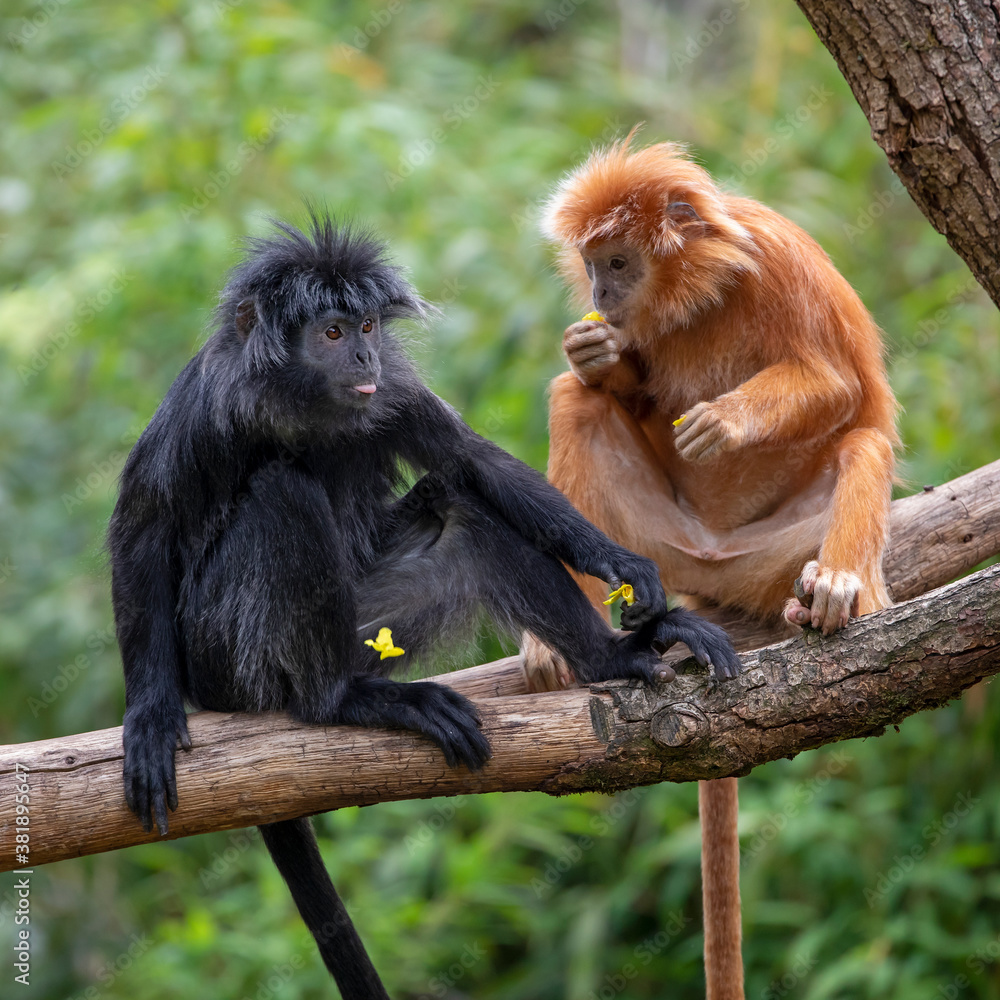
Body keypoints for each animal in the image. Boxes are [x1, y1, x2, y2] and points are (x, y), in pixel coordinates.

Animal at [107, 213, 741, 999]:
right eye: (332, 332)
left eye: (367, 326)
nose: (365, 352)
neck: (305, 407)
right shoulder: (205, 401)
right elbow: (143, 530)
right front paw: (149, 718)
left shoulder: (394, 389)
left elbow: (473, 463)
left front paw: (620, 566)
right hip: (228, 650)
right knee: (282, 493)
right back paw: (342, 699)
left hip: (370, 621)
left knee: (463, 510)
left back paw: (610, 659)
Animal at [523, 134, 898, 1000]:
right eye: (593, 264)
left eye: (618, 261)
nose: (599, 292)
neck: (707, 290)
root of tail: (716, 565)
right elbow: (618, 390)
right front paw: (596, 355)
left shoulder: (780, 263)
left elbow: (836, 387)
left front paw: (727, 421)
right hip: (653, 543)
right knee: (575, 402)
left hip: (774, 553)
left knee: (862, 444)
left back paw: (832, 595)